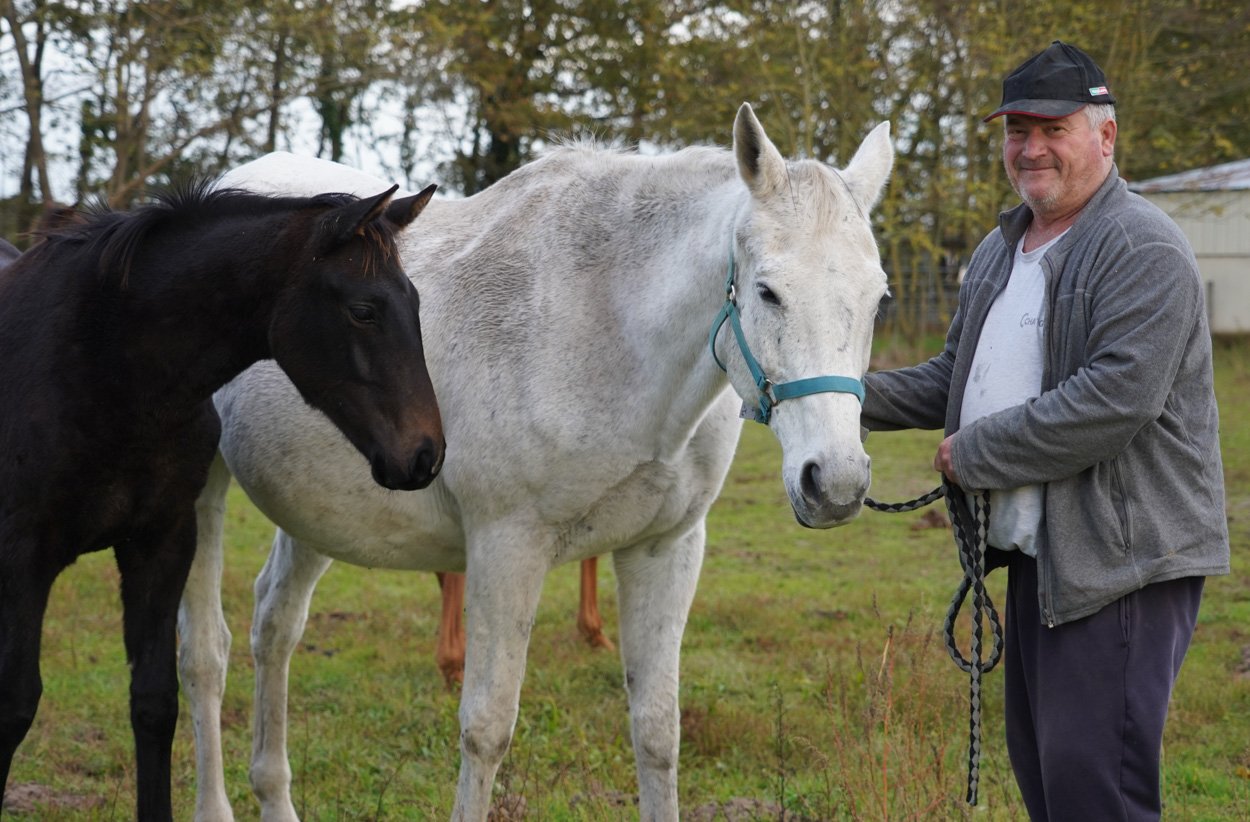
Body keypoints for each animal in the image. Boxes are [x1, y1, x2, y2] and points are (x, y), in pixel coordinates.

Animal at [0, 181, 446, 821]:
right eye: (363, 310)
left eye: (414, 305)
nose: (425, 455)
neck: (102, 367)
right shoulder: (24, 557)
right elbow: (15, 705)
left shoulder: (160, 543)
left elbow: (154, 702)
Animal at [178, 103, 893, 821]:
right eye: (768, 292)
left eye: (879, 298)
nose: (835, 482)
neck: (608, 330)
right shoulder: (506, 550)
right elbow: (486, 729)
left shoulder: (666, 547)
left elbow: (657, 729)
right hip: (202, 493)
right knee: (205, 652)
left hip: (316, 512)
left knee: (274, 626)